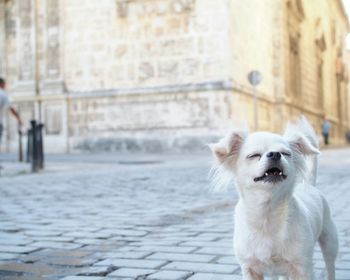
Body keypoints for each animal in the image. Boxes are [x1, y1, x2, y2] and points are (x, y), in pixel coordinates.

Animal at [209, 117, 338, 278]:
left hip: (329, 241)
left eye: (286, 154)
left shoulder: (303, 268)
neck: (267, 213)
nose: (275, 154)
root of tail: (309, 185)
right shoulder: (249, 269)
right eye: (254, 155)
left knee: (330, 266)